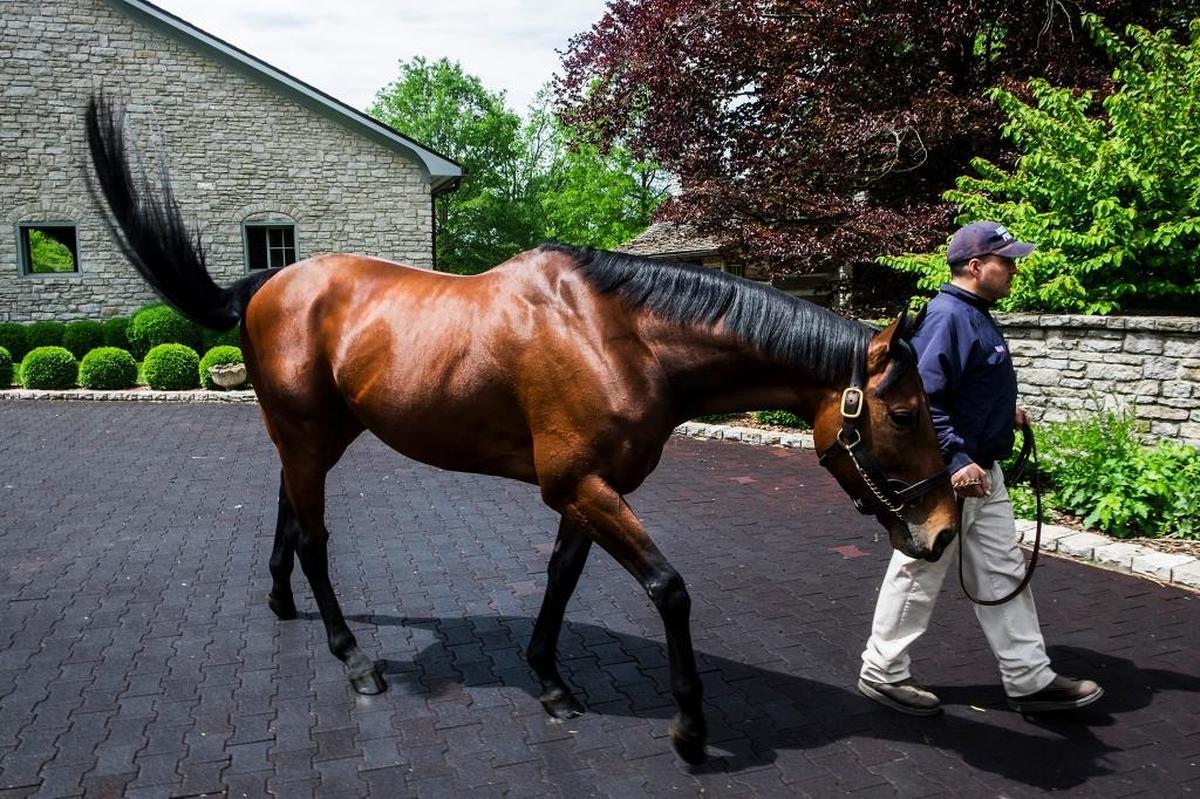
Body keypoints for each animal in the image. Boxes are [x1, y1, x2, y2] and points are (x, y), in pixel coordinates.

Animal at [85, 95, 957, 764]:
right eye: (906, 411)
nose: (943, 529)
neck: (618, 336)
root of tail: (268, 281)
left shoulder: (586, 487)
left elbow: (561, 577)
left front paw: (550, 679)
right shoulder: (581, 483)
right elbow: (668, 588)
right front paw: (689, 727)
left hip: (317, 431)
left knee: (288, 513)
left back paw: (279, 601)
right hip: (306, 432)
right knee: (315, 536)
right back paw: (354, 658)